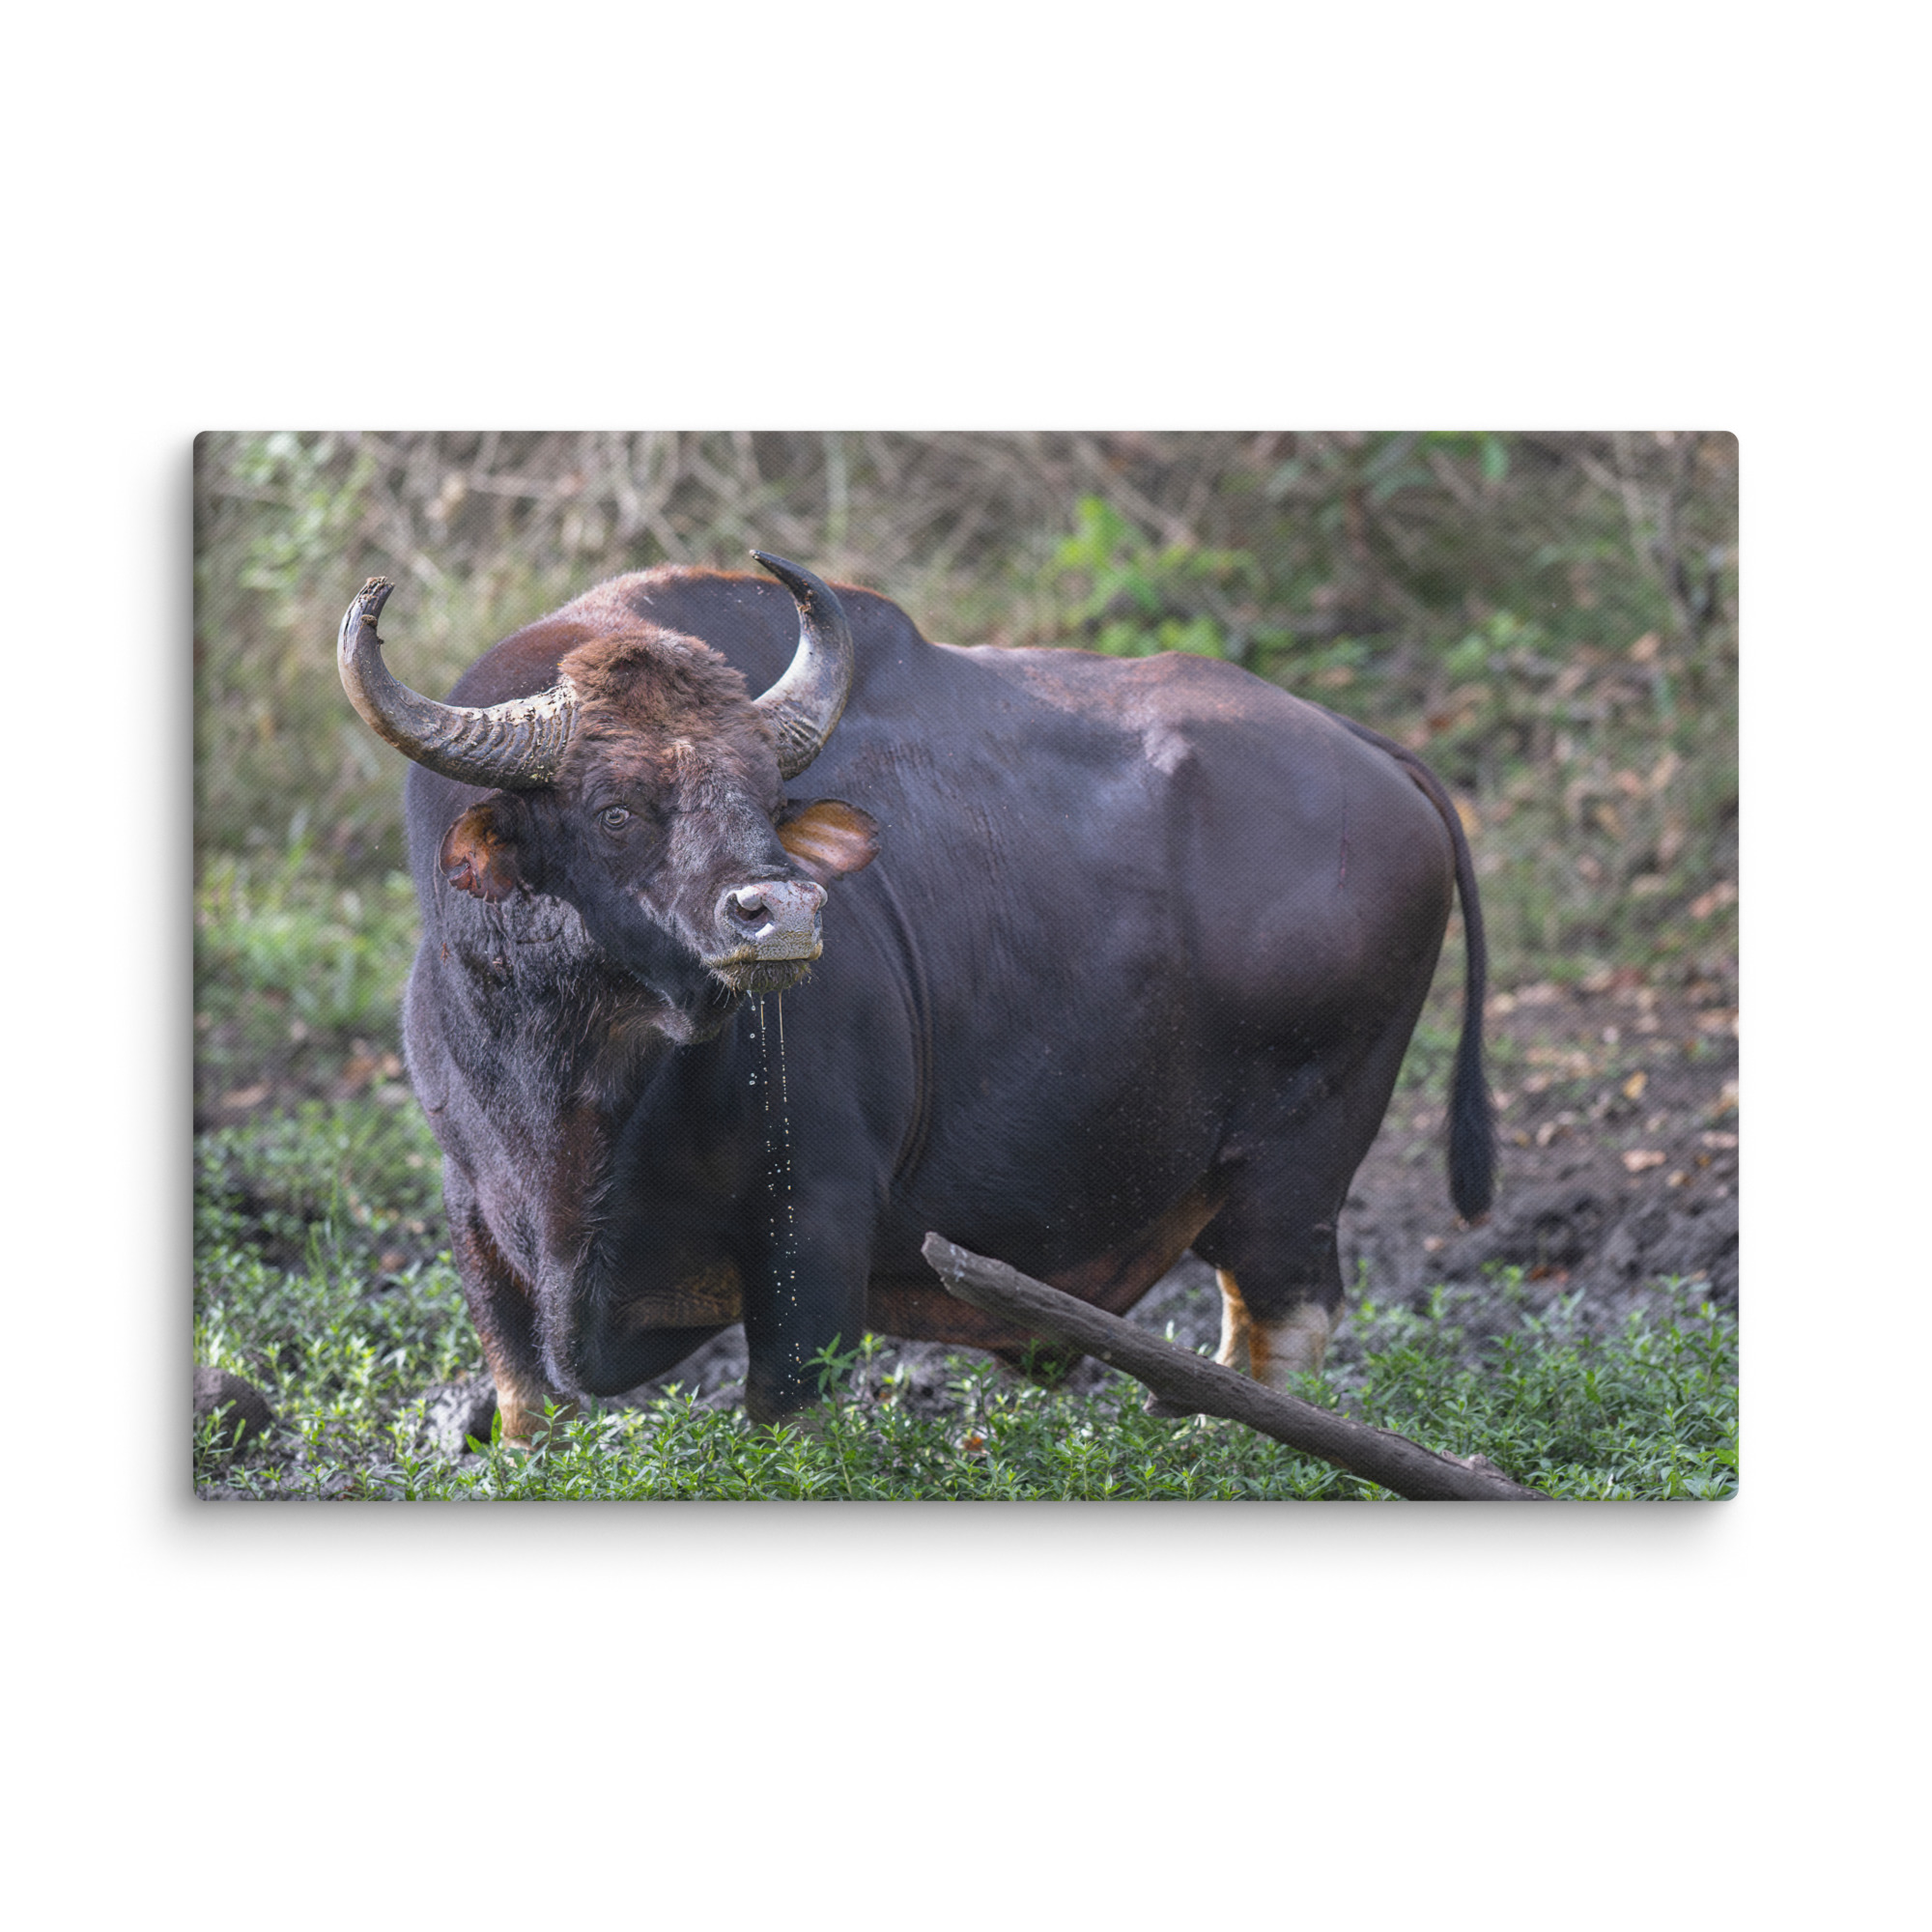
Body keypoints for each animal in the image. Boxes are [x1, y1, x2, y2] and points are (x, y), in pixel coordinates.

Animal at [338, 554, 1493, 1435]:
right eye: (616, 808)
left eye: (764, 794)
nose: (780, 914)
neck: (577, 1089)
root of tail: (1374, 756)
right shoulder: (476, 1223)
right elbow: (526, 1406)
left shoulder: (815, 1227)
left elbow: (788, 1419)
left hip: (1298, 1167)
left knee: (1284, 1320)